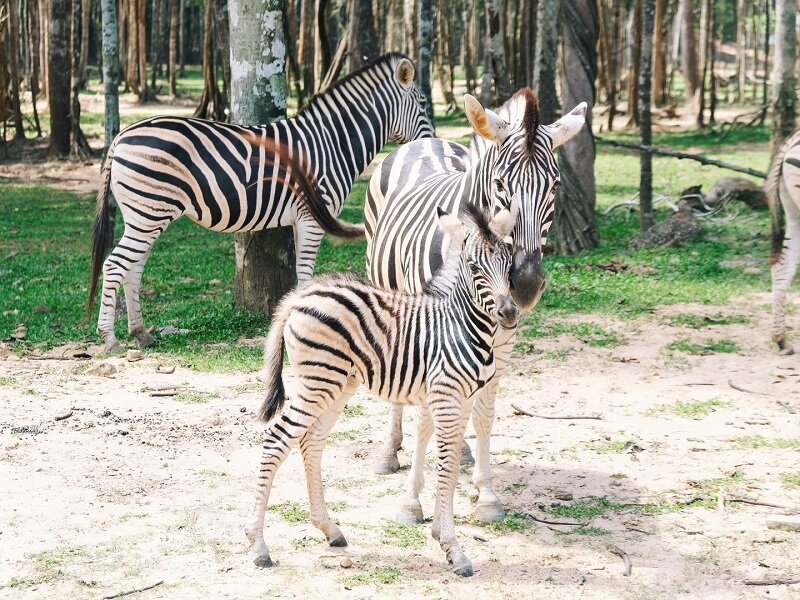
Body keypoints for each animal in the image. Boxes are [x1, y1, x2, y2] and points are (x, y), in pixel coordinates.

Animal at [87, 53, 434, 353]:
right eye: (422, 102)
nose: (432, 143)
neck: (331, 145)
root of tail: (121, 136)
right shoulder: (311, 218)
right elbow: (305, 272)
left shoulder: (301, 219)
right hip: (149, 211)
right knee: (115, 264)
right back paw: (110, 338)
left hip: (146, 215)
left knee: (133, 268)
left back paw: (140, 333)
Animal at [246, 146, 520, 577]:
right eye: (475, 269)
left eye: (509, 265)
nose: (509, 314)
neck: (460, 322)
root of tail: (299, 297)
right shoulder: (447, 398)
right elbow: (446, 467)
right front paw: (454, 549)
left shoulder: (452, 400)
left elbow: (446, 460)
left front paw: (440, 536)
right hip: (317, 382)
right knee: (277, 439)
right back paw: (259, 546)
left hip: (337, 384)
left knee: (311, 441)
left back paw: (330, 530)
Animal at [364, 89, 586, 524]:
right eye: (500, 184)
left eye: (554, 186)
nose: (527, 285)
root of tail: (426, 142)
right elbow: (424, 416)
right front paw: (412, 501)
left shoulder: (502, 340)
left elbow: (484, 412)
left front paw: (486, 494)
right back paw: (388, 452)